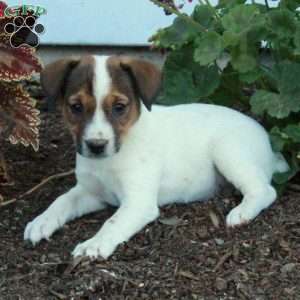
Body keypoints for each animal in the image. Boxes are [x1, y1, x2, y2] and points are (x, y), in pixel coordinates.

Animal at [25, 55, 288, 258]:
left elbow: (111, 222)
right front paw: (42, 221)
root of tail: (268, 144)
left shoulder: (138, 203)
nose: (96, 145)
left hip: (228, 151)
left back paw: (242, 213)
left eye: (119, 107)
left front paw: (94, 244)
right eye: (76, 107)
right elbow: (61, 201)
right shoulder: (91, 193)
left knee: (265, 190)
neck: (111, 160)